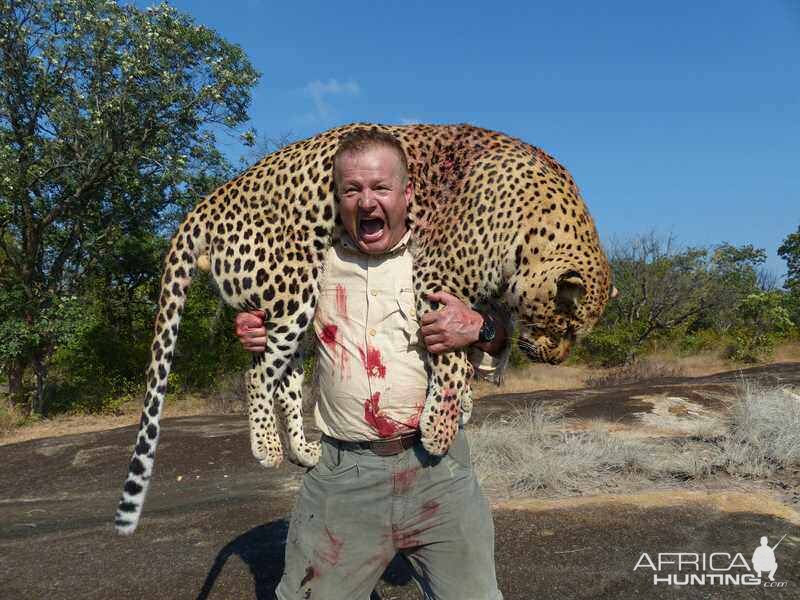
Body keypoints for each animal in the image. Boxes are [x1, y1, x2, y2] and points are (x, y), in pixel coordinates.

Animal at [114, 123, 612, 536]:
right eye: (566, 326)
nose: (556, 358)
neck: (533, 233)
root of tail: (209, 201)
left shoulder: (482, 301)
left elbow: (475, 351)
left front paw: (464, 402)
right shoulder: (436, 277)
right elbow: (451, 360)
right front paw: (439, 428)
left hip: (295, 305)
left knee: (285, 381)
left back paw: (303, 450)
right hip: (292, 291)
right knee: (257, 375)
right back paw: (268, 449)